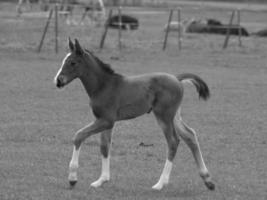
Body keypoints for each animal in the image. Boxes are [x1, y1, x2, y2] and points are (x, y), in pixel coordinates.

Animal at [54, 38, 216, 191]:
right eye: (64, 61)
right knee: (190, 136)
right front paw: (101, 180)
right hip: (174, 116)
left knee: (173, 141)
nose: (58, 81)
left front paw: (72, 178)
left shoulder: (107, 120)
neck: (104, 86)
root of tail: (177, 78)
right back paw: (208, 180)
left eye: (73, 62)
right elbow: (104, 146)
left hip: (163, 116)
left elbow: (79, 136)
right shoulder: (104, 121)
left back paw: (160, 184)